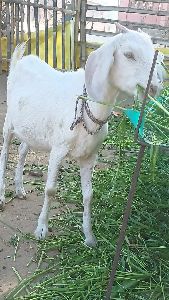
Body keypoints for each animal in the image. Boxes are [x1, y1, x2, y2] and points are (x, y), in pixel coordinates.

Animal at [0, 24, 161, 247]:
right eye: (129, 54)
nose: (155, 88)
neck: (87, 108)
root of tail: (19, 61)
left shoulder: (89, 156)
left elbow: (88, 195)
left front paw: (90, 237)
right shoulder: (58, 149)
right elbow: (50, 189)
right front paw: (41, 229)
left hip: (32, 130)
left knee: (23, 150)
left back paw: (19, 189)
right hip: (9, 122)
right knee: (5, 153)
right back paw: (2, 196)